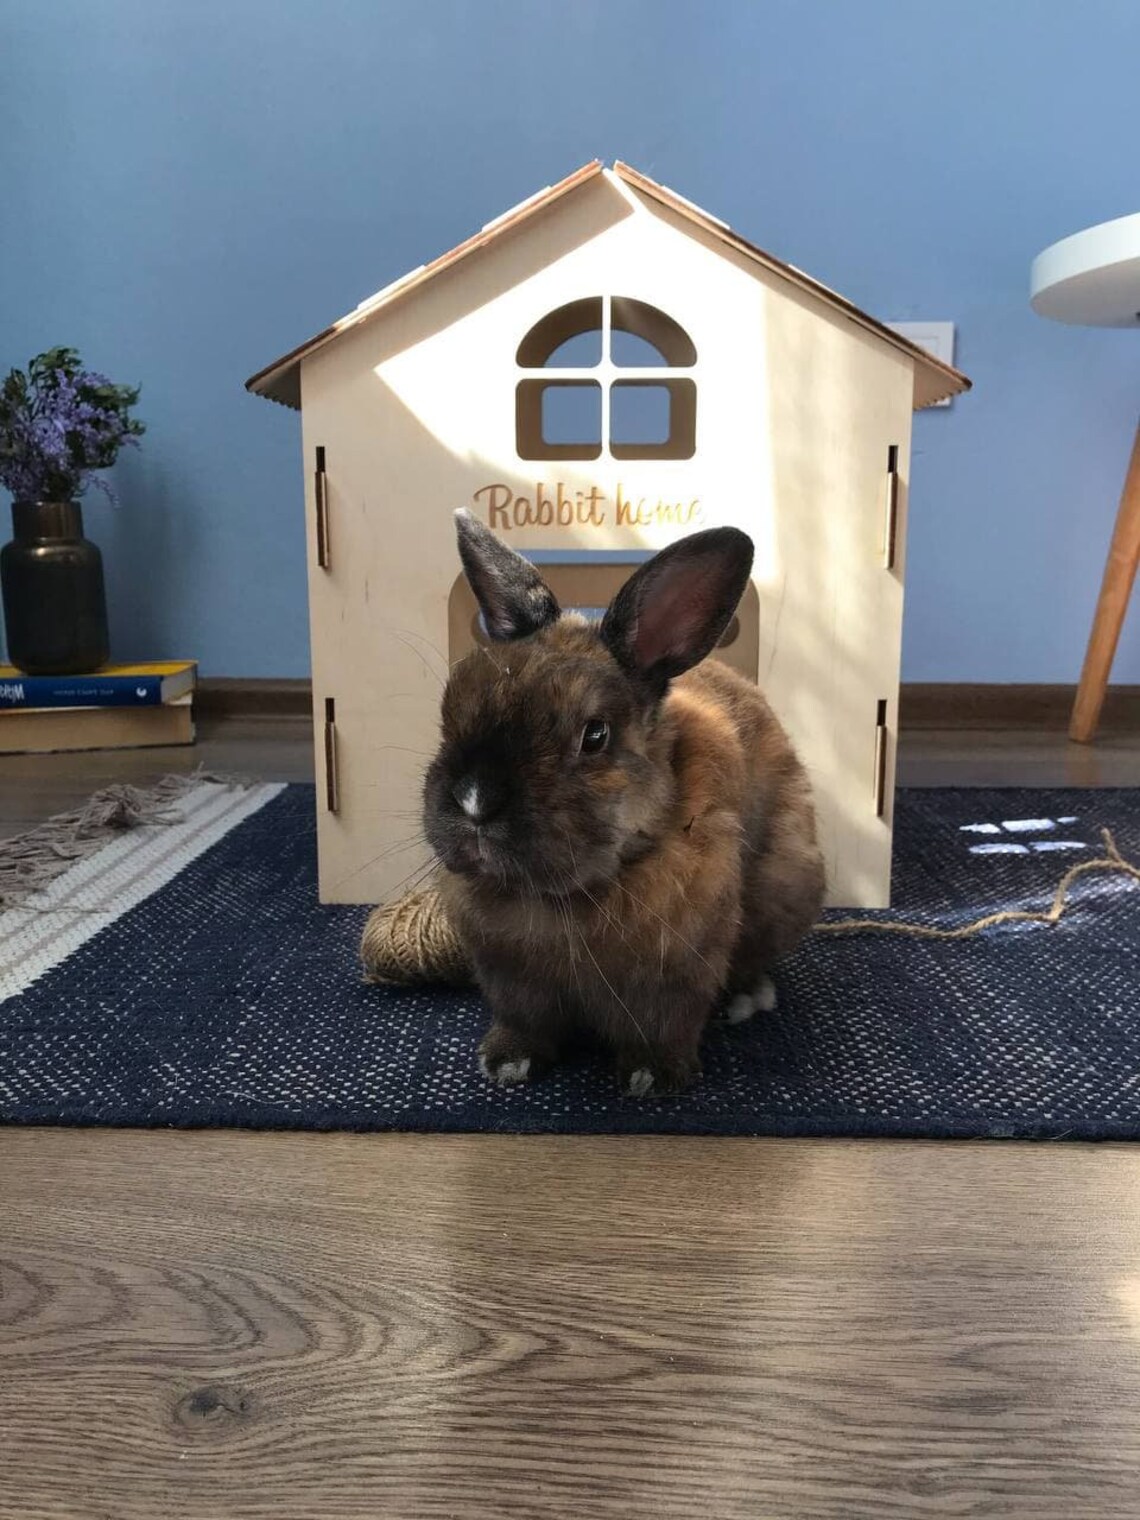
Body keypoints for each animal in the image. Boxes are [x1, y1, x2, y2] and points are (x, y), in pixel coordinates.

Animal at [422, 509, 826, 1097]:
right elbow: (523, 1024)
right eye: (452, 707)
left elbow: (665, 1026)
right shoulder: (512, 981)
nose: (476, 802)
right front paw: (505, 1064)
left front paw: (649, 1078)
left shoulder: (674, 978)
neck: (566, 898)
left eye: (595, 735)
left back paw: (748, 997)